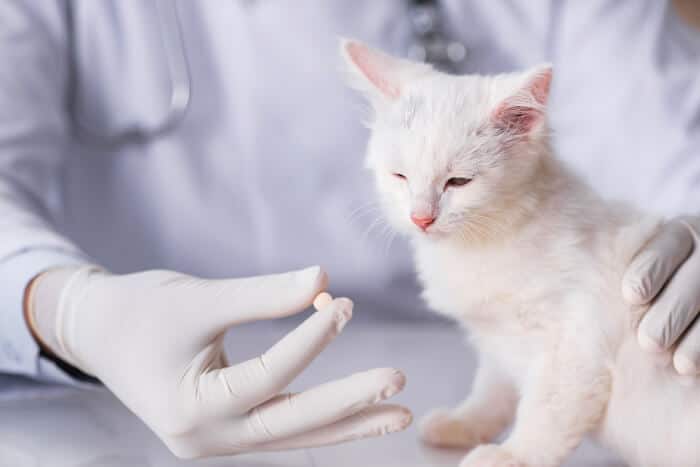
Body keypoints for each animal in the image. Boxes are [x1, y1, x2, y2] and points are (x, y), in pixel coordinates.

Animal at [340, 39, 700, 467]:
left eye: (458, 182)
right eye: (400, 176)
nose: (421, 217)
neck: (485, 242)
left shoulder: (572, 346)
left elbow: (545, 411)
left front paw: (512, 455)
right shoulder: (498, 344)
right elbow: (493, 391)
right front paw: (464, 423)